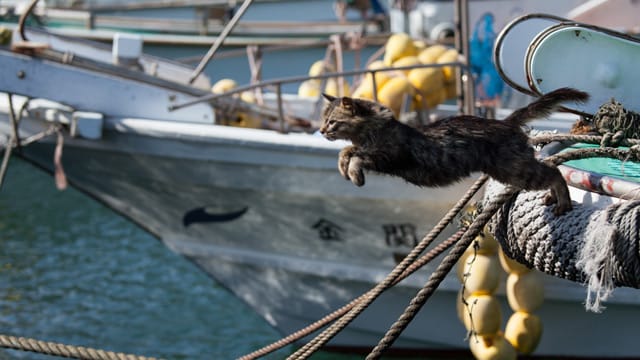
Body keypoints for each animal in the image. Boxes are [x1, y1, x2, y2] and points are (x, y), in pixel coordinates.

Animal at [320, 88, 592, 215]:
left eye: (332, 122)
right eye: (323, 120)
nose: (322, 131)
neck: (372, 130)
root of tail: (505, 122)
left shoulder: (387, 155)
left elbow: (357, 156)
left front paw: (355, 175)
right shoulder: (367, 149)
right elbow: (346, 151)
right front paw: (343, 167)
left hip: (515, 170)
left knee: (554, 172)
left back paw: (562, 201)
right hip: (511, 170)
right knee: (550, 168)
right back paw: (553, 197)